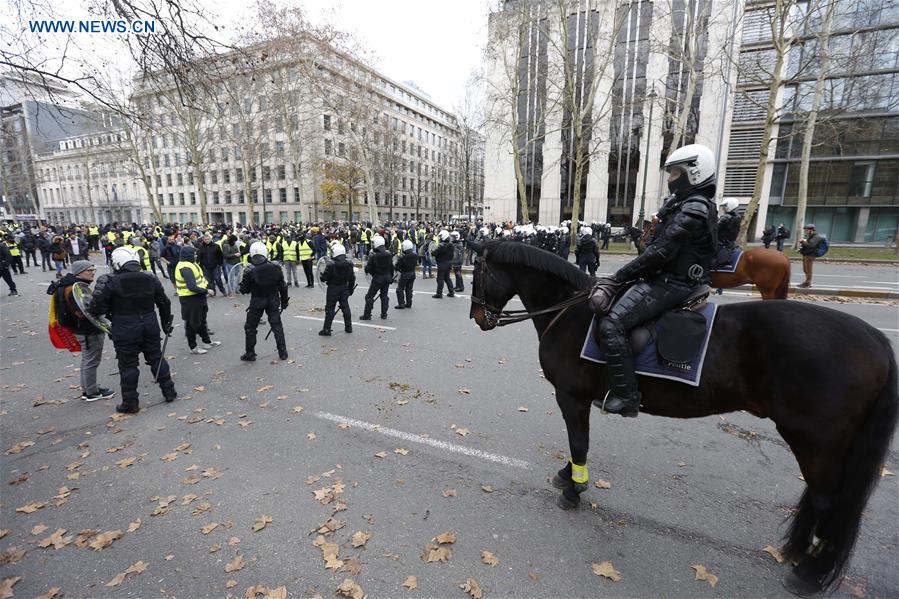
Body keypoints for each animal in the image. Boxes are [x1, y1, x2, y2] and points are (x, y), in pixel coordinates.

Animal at [468, 241, 896, 596]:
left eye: (478, 274)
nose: (477, 317)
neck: (569, 311)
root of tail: (875, 338)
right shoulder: (577, 399)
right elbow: (578, 443)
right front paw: (567, 476)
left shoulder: (571, 397)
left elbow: (578, 441)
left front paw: (574, 489)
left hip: (815, 441)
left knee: (828, 501)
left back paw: (808, 572)